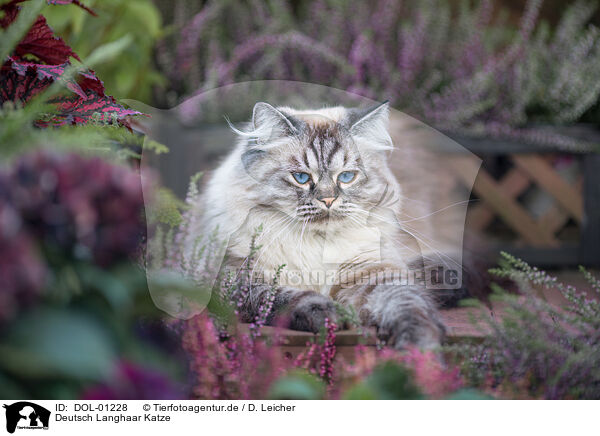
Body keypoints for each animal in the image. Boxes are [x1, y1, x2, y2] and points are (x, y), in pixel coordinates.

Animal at [192, 100, 446, 350]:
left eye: (346, 177)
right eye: (302, 178)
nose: (328, 200)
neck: (316, 244)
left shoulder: (373, 272)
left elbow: (408, 306)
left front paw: (419, 347)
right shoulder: (237, 278)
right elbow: (283, 297)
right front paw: (327, 315)